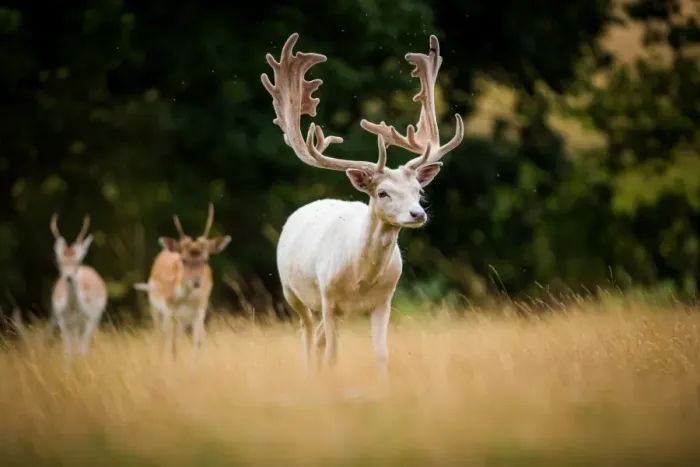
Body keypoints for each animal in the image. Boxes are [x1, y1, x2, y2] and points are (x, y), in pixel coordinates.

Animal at [49, 213, 108, 357]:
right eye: (60, 261)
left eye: (78, 261)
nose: (69, 277)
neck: (73, 309)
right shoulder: (62, 322)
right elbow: (68, 350)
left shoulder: (88, 320)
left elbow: (82, 349)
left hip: (94, 319)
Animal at [133, 203, 231, 366]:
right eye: (183, 260)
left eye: (206, 259)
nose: (197, 282)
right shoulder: (169, 310)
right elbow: (171, 344)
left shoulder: (200, 309)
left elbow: (198, 341)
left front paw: (193, 368)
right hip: (156, 309)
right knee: (160, 337)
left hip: (182, 320)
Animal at [261, 33, 464, 376]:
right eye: (382, 193)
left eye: (418, 190)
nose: (417, 214)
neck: (361, 279)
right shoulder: (328, 298)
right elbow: (332, 354)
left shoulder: (384, 300)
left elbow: (381, 354)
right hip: (292, 291)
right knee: (307, 335)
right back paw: (309, 373)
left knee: (317, 337)